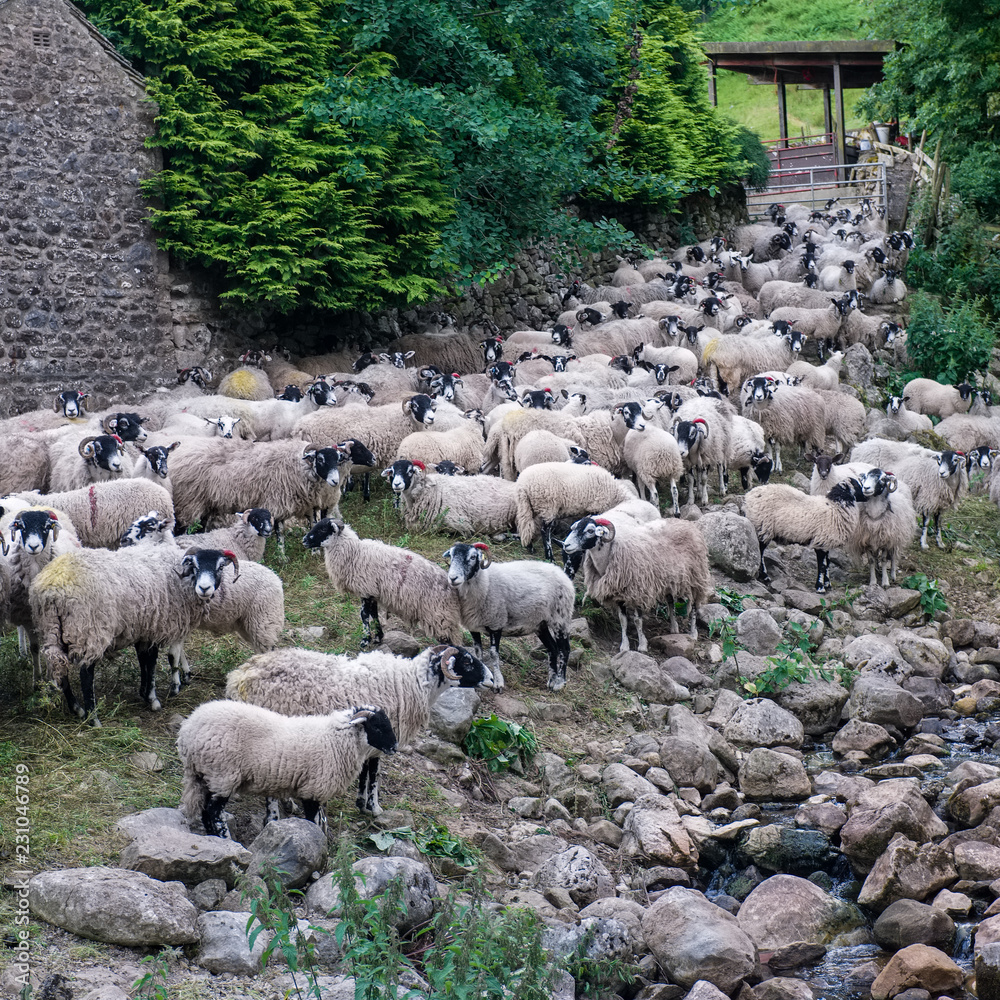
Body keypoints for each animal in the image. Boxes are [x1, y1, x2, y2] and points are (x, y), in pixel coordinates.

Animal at [178, 701, 397, 837]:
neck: (335, 739)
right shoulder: (312, 789)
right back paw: (225, 838)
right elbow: (313, 822)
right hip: (222, 775)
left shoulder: (317, 791)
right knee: (213, 812)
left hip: (205, 776)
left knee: (204, 811)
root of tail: (188, 731)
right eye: (377, 727)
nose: (394, 747)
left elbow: (319, 821)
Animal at [225, 644, 491, 816]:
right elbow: (374, 773)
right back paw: (274, 816)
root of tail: (239, 679)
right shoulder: (382, 737)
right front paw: (373, 807)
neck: (413, 683)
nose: (492, 680)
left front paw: (361, 802)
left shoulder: (367, 738)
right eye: (467, 662)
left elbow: (364, 772)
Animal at [303, 518, 463, 648]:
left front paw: (365, 641)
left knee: (450, 641)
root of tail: (451, 586)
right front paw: (378, 638)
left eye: (322, 529)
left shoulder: (365, 589)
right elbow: (374, 615)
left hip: (439, 615)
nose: (303, 540)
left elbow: (364, 615)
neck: (354, 552)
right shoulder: (373, 592)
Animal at [561, 515, 713, 645]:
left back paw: (693, 633)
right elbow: (623, 620)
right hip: (668, 578)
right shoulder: (618, 594)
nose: (566, 545)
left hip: (696, 576)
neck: (610, 555)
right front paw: (624, 646)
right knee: (670, 601)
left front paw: (642, 645)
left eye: (590, 530)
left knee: (694, 605)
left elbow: (638, 620)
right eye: (574, 527)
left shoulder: (639, 591)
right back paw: (674, 627)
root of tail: (687, 523)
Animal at [743, 472, 880, 592]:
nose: (867, 496)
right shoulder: (821, 542)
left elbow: (828, 564)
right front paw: (820, 587)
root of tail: (748, 496)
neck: (835, 507)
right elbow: (822, 566)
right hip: (763, 527)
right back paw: (765, 576)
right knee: (760, 552)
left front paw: (828, 585)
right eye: (857, 485)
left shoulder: (827, 543)